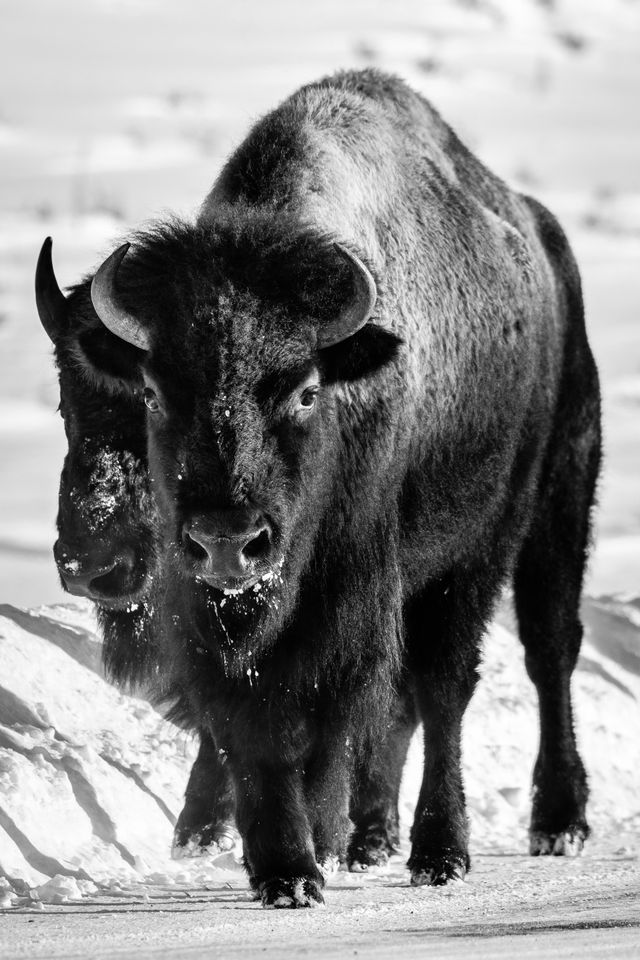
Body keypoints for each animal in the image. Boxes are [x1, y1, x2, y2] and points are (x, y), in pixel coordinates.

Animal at [38, 69, 600, 908]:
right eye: (153, 391)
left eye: (304, 392)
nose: (229, 543)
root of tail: (542, 239)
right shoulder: (213, 608)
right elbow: (250, 721)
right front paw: (282, 867)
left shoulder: (386, 582)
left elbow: (378, 699)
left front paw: (357, 847)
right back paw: (370, 838)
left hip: (541, 516)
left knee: (527, 658)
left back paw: (529, 828)